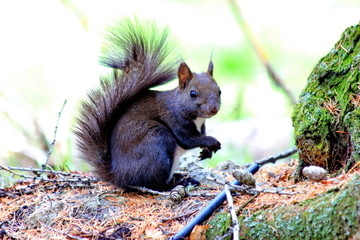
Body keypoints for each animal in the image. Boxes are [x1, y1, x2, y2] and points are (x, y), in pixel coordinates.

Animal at [74, 18, 221, 190]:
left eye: (219, 91)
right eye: (193, 93)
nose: (214, 109)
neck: (196, 117)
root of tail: (118, 176)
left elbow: (200, 136)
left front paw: (207, 151)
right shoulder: (175, 120)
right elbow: (189, 140)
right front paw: (213, 142)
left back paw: (181, 178)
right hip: (157, 141)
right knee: (155, 185)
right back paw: (179, 183)